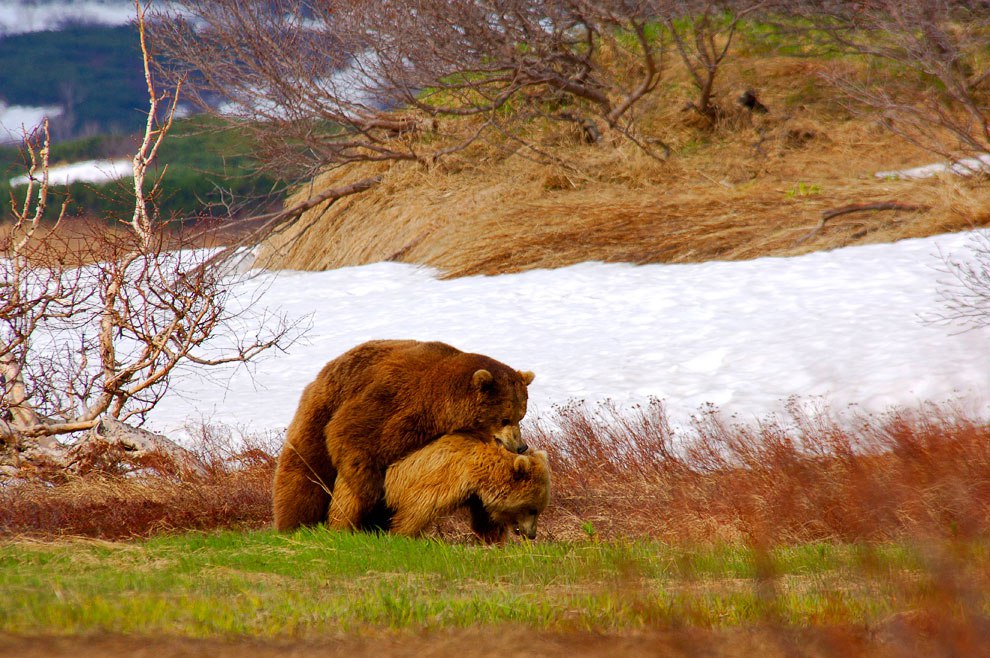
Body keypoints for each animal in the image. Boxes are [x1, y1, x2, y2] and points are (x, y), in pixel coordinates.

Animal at [272, 338, 536, 528]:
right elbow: (353, 435)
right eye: (505, 418)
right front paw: (373, 504)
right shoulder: (398, 400)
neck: (440, 405)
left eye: (521, 415)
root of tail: (326, 368)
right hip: (322, 409)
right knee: (305, 473)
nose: (520, 445)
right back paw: (295, 525)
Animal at [384, 428, 552, 540]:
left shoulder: (477, 499)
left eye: (539, 510)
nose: (532, 534)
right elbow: (413, 513)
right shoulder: (437, 480)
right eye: (532, 510)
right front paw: (400, 536)